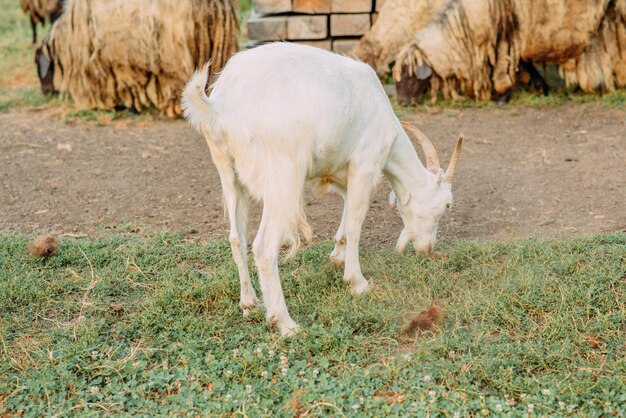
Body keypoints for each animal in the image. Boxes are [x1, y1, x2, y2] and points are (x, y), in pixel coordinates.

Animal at [180, 42, 458, 336]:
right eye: (446, 205)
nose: (427, 250)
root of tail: (222, 106)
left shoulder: (338, 171)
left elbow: (346, 210)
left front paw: (336, 256)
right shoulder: (365, 164)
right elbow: (356, 223)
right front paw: (357, 282)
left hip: (228, 171)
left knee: (236, 237)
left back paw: (249, 304)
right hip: (282, 176)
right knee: (264, 247)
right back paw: (285, 322)